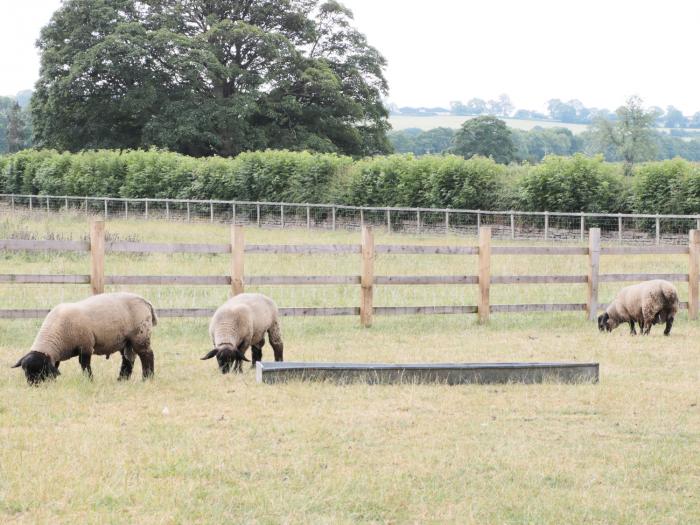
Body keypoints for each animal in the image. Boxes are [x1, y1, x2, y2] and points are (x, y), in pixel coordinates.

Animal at [12, 290, 157, 384]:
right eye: (25, 371)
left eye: (40, 371)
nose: (33, 386)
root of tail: (146, 302)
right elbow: (56, 366)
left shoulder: (85, 346)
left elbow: (85, 366)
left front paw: (89, 381)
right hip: (125, 340)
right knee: (128, 359)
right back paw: (121, 380)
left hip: (140, 335)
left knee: (147, 355)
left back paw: (147, 378)